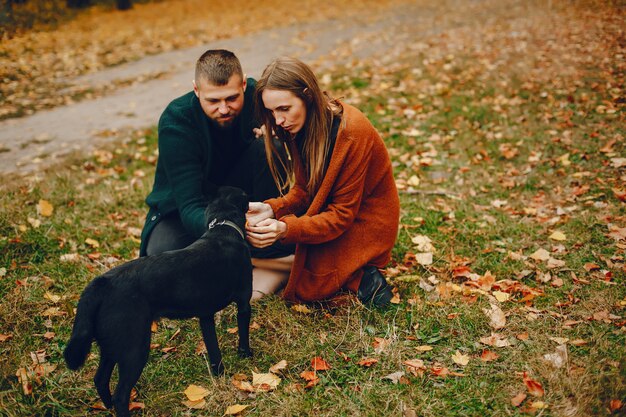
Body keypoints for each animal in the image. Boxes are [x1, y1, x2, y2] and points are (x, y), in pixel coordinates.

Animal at [62, 187, 250, 414]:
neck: (222, 228)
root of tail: (102, 283)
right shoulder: (244, 302)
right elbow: (243, 335)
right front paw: (246, 355)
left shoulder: (205, 316)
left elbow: (214, 351)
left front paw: (219, 375)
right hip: (135, 349)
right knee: (120, 394)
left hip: (111, 345)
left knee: (100, 379)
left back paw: (107, 407)